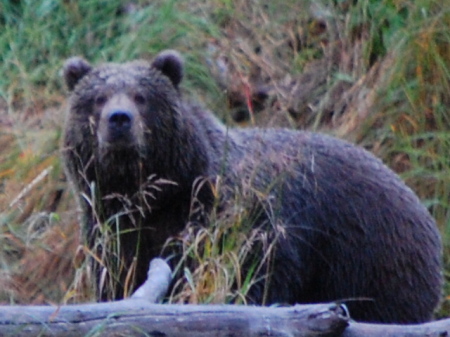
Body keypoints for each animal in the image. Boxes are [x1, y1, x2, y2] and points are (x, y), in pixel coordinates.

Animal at [62, 50, 442, 322]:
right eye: (98, 97)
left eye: (141, 96)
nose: (119, 120)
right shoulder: (112, 226)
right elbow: (117, 276)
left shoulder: (229, 213)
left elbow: (254, 270)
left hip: (371, 257)